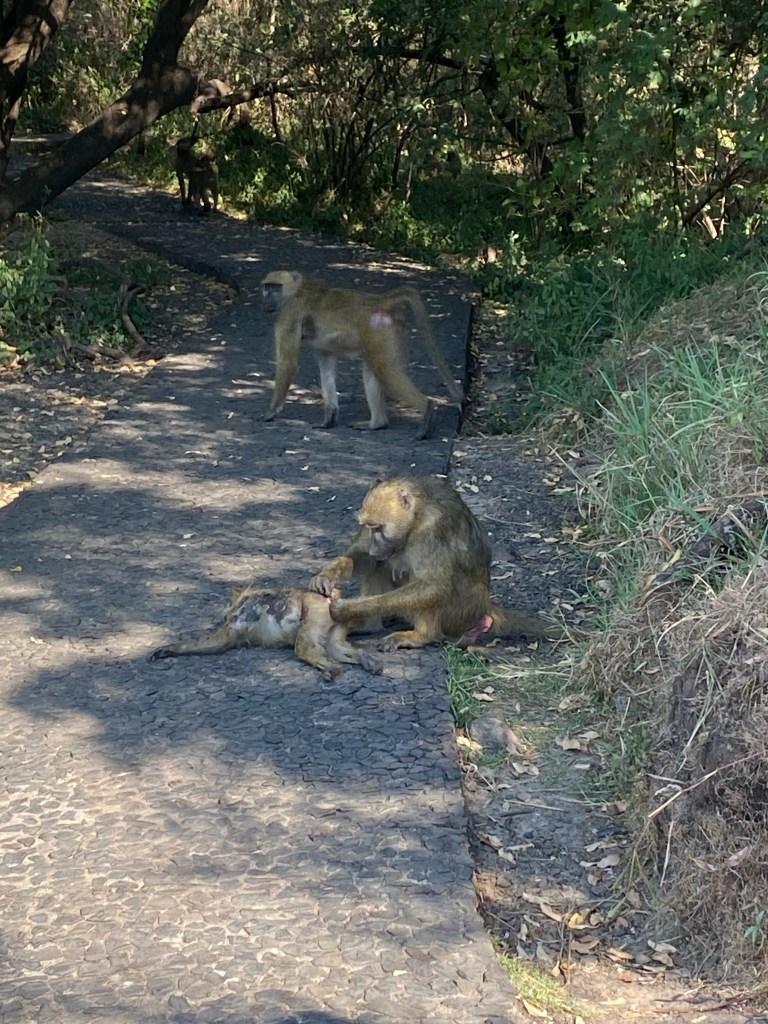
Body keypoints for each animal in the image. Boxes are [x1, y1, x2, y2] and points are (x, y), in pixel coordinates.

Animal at [150, 585, 381, 679]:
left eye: (236, 606)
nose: (229, 615)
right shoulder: (232, 630)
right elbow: (217, 642)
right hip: (329, 624)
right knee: (333, 648)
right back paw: (360, 659)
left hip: (314, 615)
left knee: (304, 646)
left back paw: (330, 667)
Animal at [260, 271, 464, 440]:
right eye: (266, 287)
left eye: (275, 287)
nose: (267, 299)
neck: (298, 290)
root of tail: (377, 301)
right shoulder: (322, 347)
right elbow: (326, 368)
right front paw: (329, 418)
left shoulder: (289, 314)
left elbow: (287, 363)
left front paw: (271, 412)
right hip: (390, 330)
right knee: (373, 369)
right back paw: (377, 423)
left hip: (379, 329)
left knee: (384, 370)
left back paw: (428, 409)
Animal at [309, 475, 562, 651]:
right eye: (369, 528)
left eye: (379, 528)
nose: (375, 545)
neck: (416, 516)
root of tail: (484, 605)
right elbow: (364, 557)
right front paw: (326, 576)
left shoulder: (431, 529)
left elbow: (434, 586)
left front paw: (351, 607)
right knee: (382, 564)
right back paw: (369, 625)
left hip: (462, 611)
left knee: (436, 589)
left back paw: (422, 636)